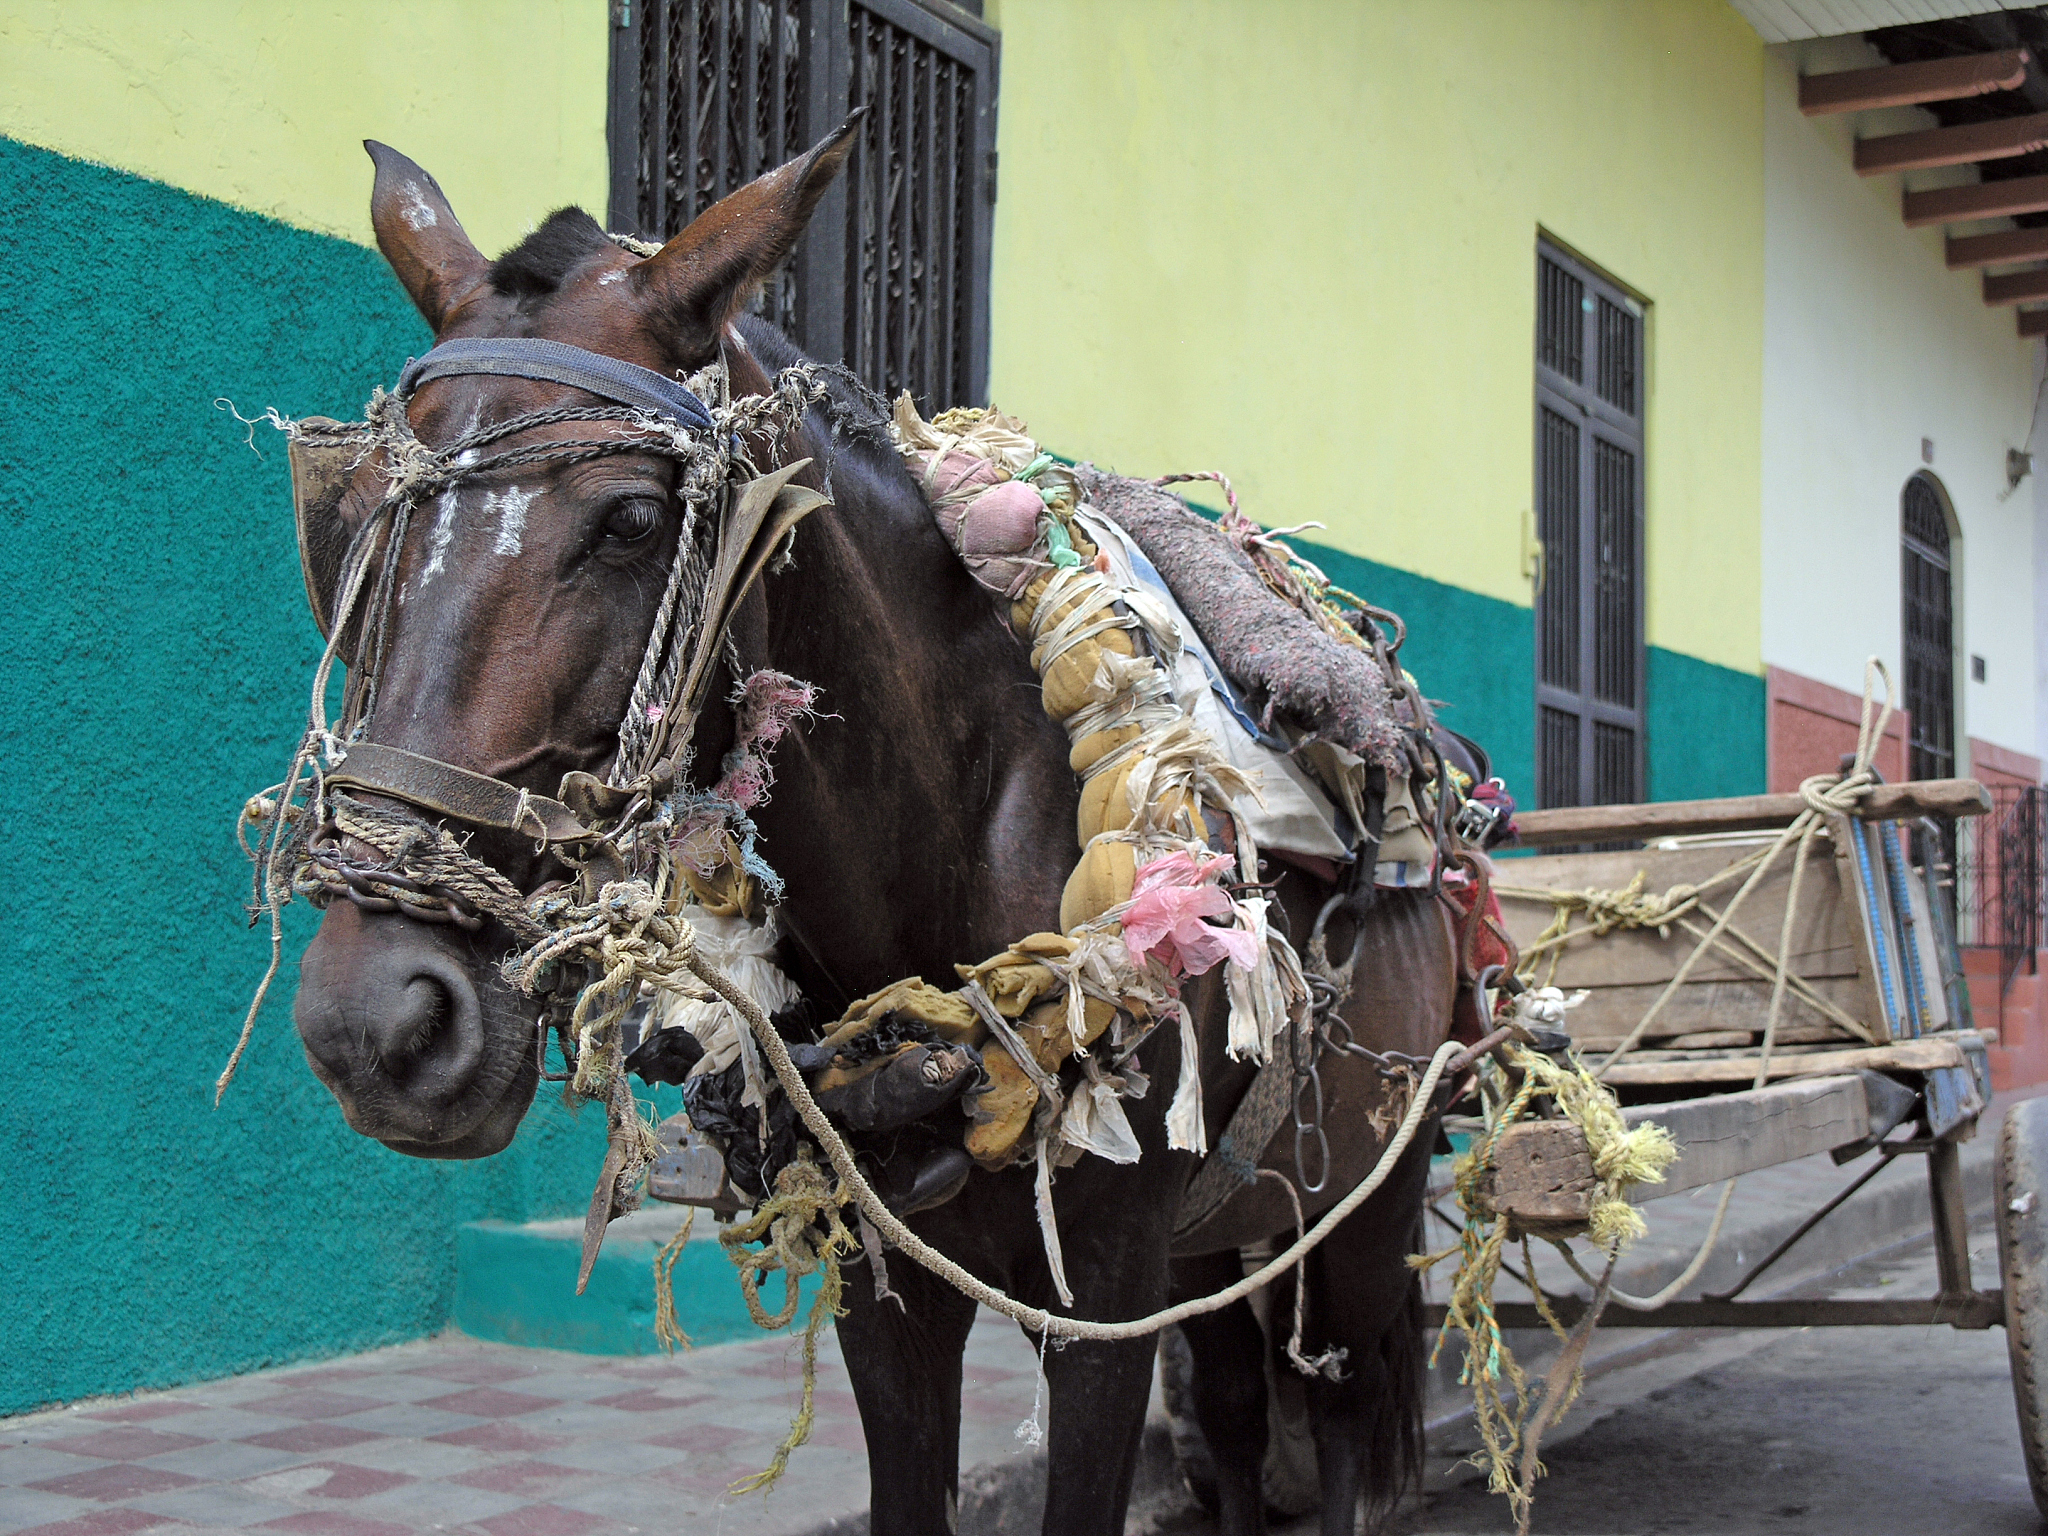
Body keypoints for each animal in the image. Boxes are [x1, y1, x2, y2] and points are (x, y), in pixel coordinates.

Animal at [281, 122, 1459, 1536]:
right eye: (352, 518)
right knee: (1233, 1410)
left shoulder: (1103, 1292)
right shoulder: (883, 1285)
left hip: (1367, 1194)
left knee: (1338, 1408)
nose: (378, 1023)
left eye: (631, 521)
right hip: (1222, 1235)